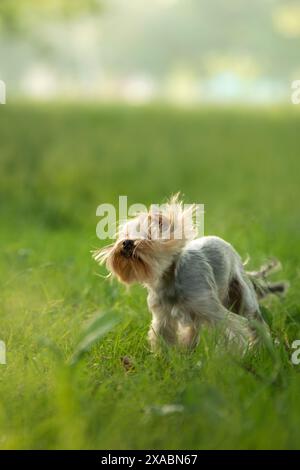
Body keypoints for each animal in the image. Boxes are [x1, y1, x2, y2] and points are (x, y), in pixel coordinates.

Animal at [92, 195, 288, 348]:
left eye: (149, 236)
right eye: (125, 236)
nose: (126, 243)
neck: (168, 279)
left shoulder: (211, 308)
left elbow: (233, 330)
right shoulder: (162, 317)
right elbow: (162, 337)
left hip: (242, 295)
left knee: (255, 321)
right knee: (193, 331)